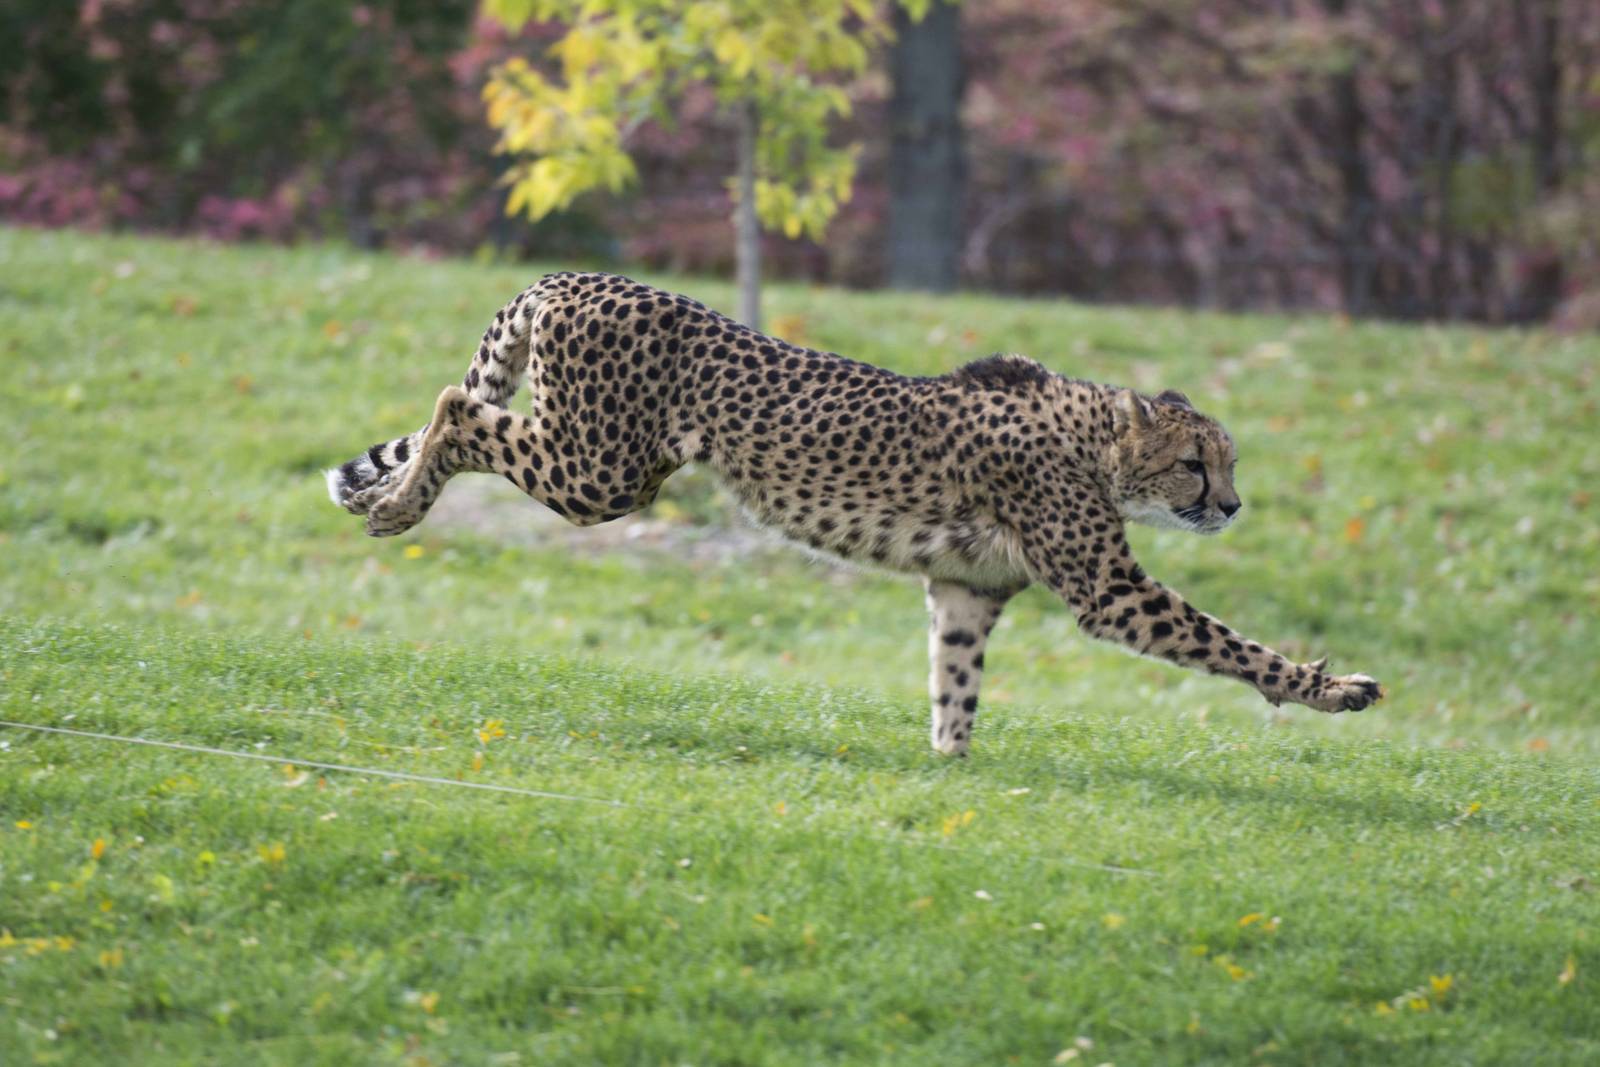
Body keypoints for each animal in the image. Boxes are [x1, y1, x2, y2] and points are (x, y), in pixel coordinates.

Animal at [327, 271, 1382, 755]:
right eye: (1198, 463)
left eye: (1228, 463)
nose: (1232, 504)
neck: (1096, 442)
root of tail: (576, 277)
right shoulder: (1109, 589)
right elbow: (1227, 641)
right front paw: (1329, 687)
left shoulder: (965, 588)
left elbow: (956, 682)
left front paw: (952, 769)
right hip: (602, 470)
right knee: (458, 407)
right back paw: (396, 509)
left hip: (595, 461)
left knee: (457, 410)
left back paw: (380, 494)